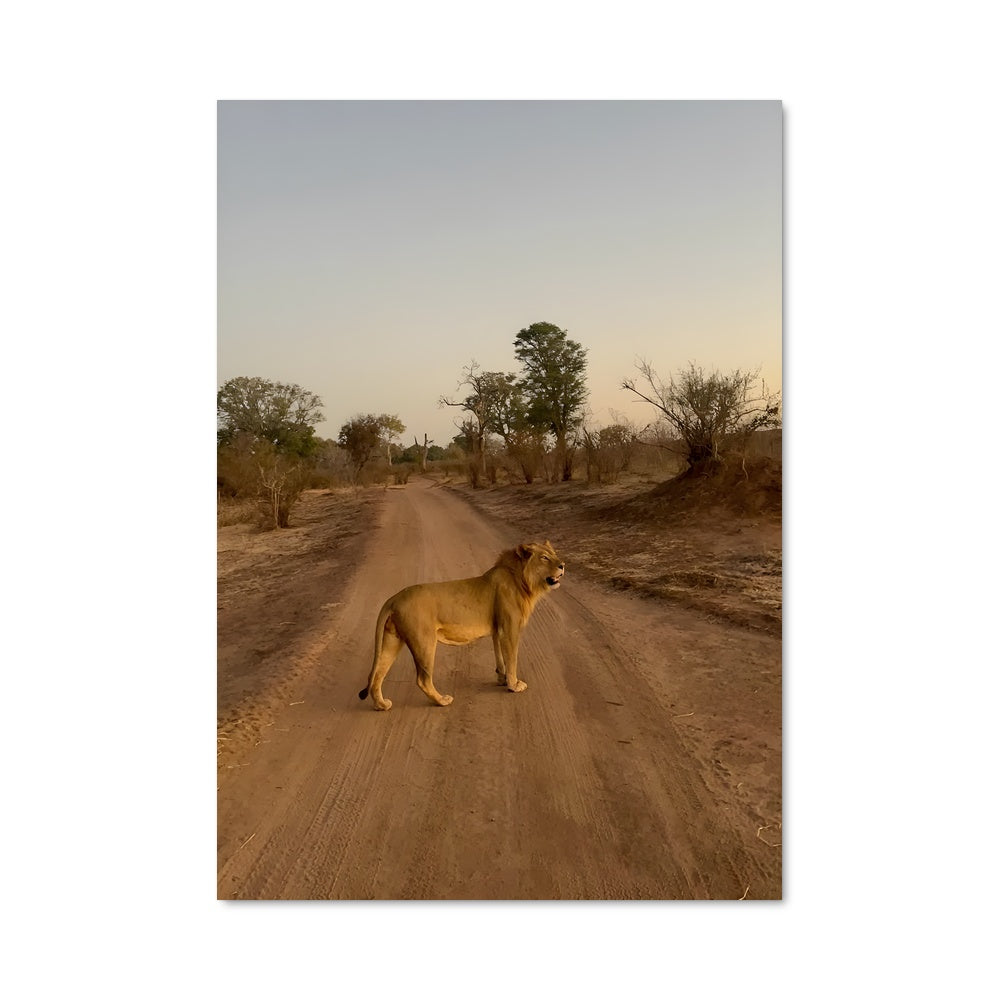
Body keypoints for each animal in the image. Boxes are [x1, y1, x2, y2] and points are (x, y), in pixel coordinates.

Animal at [358, 541, 565, 710]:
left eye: (554, 553)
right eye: (544, 557)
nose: (563, 565)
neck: (522, 580)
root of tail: (394, 598)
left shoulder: (498, 630)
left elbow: (500, 657)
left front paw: (502, 678)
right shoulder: (510, 628)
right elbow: (512, 659)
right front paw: (514, 685)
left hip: (391, 640)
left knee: (376, 675)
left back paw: (382, 705)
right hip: (424, 642)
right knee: (422, 680)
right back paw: (442, 700)